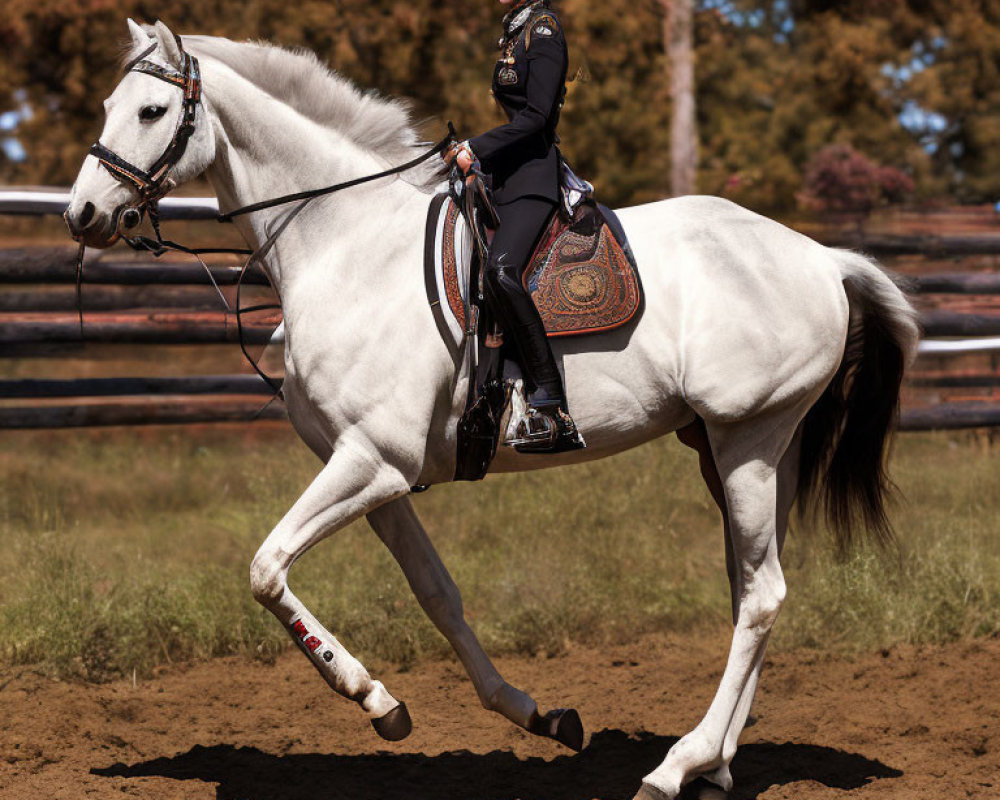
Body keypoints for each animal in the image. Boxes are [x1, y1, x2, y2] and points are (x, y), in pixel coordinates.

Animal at [66, 20, 916, 800]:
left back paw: (677, 767)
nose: (82, 213)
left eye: (150, 111)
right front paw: (527, 714)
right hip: (732, 449)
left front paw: (370, 695)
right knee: (752, 589)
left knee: (762, 596)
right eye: (109, 104)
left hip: (749, 439)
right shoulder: (378, 474)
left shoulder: (368, 463)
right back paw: (717, 767)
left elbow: (266, 570)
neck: (346, 244)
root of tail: (824, 259)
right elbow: (437, 593)